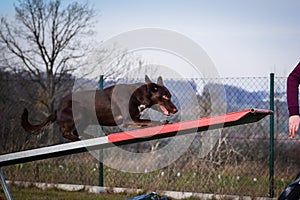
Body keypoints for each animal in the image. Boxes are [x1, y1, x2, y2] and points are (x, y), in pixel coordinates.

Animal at [22, 76, 177, 141]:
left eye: (170, 96)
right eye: (165, 97)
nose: (175, 110)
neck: (138, 95)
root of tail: (57, 108)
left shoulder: (134, 119)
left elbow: (144, 122)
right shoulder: (128, 120)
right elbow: (149, 121)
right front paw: (162, 122)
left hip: (84, 119)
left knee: (75, 130)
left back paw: (87, 136)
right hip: (79, 113)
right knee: (65, 132)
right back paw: (80, 137)